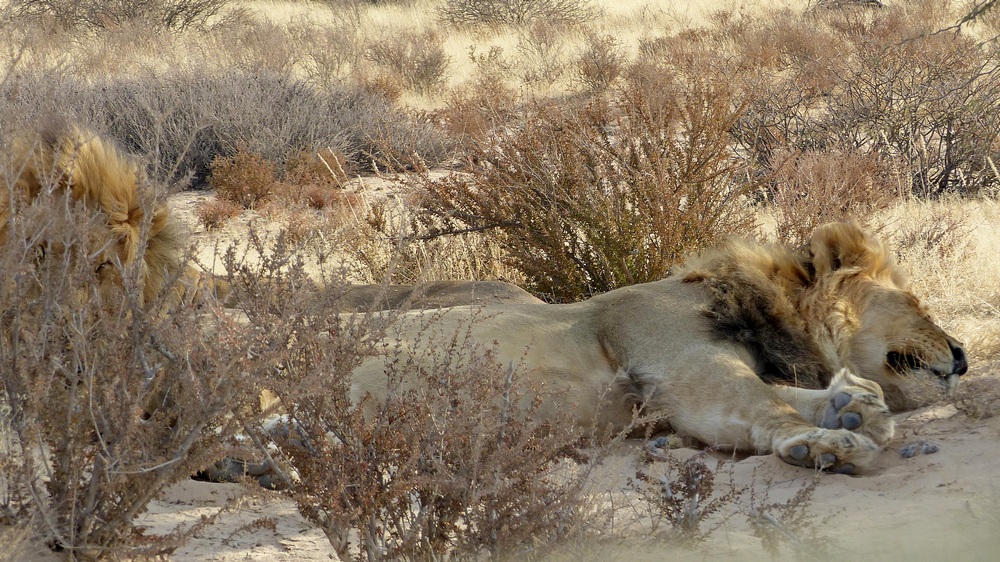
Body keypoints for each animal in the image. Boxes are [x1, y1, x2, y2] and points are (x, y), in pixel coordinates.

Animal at [352, 223, 968, 472]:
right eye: (916, 302)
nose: (963, 355)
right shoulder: (683, 362)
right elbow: (771, 406)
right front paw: (828, 444)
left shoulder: (673, 403)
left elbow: (789, 397)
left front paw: (855, 410)